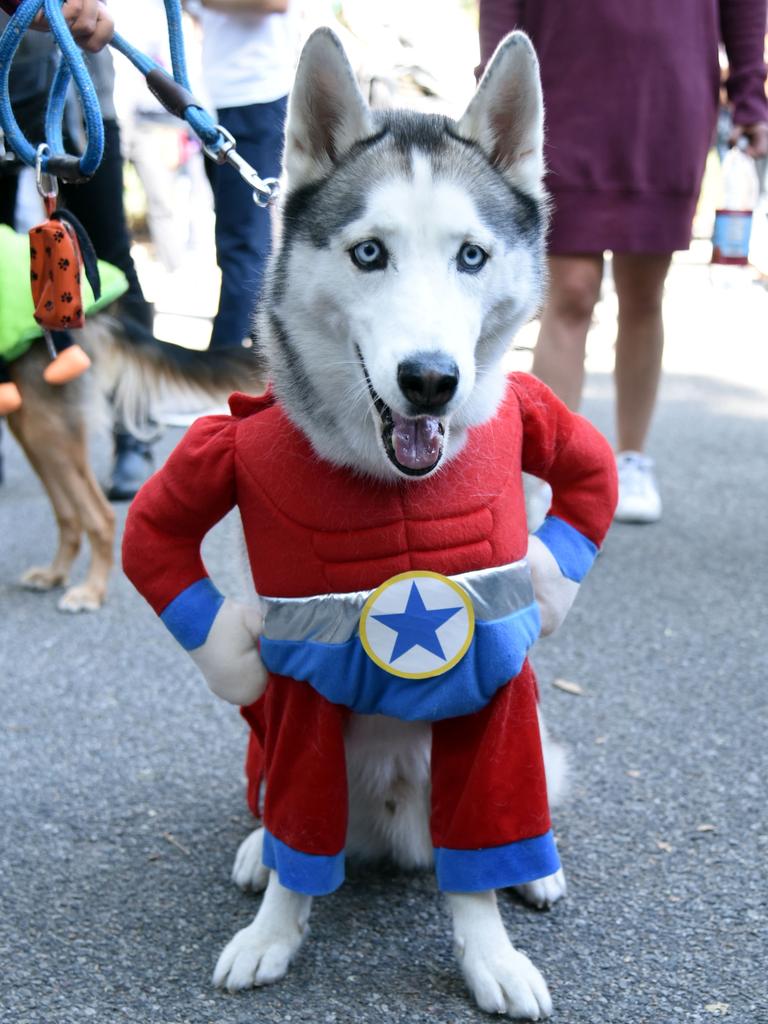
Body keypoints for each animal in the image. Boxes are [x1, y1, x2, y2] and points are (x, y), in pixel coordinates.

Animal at [211, 28, 573, 1019]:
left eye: (471, 257)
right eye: (369, 253)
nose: (430, 380)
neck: (399, 489)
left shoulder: (488, 692)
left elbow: (478, 860)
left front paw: (490, 954)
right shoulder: (301, 686)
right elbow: (299, 834)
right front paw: (274, 932)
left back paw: (537, 868)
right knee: (276, 800)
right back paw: (261, 849)